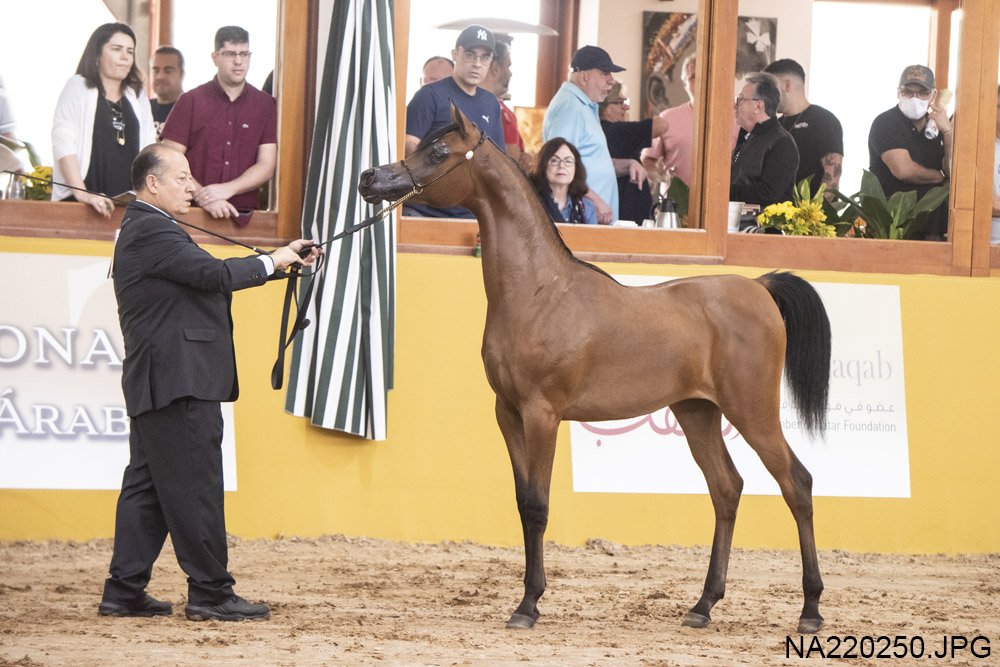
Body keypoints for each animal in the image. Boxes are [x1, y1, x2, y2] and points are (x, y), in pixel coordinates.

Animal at [358, 107, 828, 636]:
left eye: (439, 151)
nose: (370, 178)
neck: (539, 292)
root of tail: (760, 287)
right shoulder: (508, 413)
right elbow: (521, 502)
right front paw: (528, 597)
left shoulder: (542, 414)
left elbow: (538, 505)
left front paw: (528, 605)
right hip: (697, 413)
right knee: (726, 490)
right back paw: (703, 605)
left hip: (753, 412)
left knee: (797, 484)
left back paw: (810, 610)